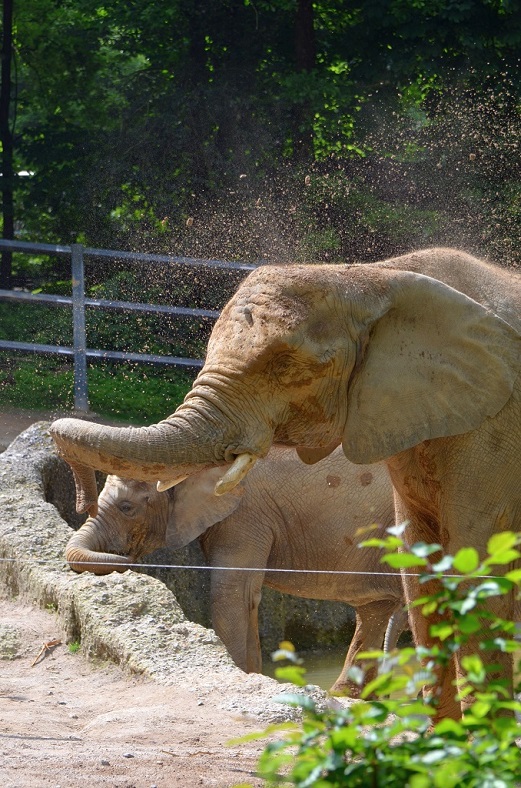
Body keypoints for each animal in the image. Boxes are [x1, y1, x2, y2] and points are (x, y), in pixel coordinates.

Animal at [64, 445, 408, 695]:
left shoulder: (246, 513)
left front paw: (243, 675)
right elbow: (246, 597)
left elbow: (232, 594)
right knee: (375, 610)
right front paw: (255, 676)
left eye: (127, 508)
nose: (129, 563)